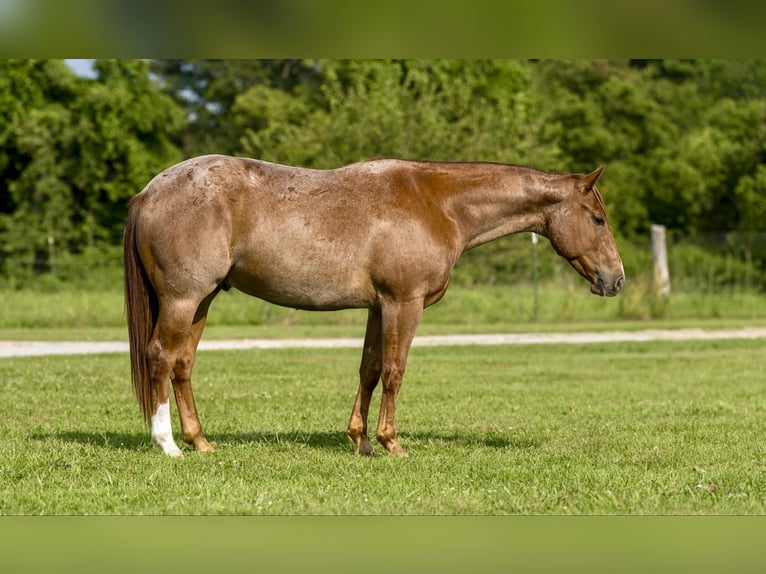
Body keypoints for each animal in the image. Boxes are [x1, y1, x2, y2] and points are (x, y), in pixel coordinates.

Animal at [124, 154, 624, 457]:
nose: (615, 279)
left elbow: (368, 368)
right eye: (597, 219)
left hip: (202, 300)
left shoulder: (378, 307)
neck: (439, 204)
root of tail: (150, 190)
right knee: (160, 358)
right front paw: (391, 442)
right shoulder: (405, 303)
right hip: (183, 299)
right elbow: (394, 371)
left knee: (183, 364)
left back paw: (200, 441)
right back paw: (167, 444)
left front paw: (360, 441)